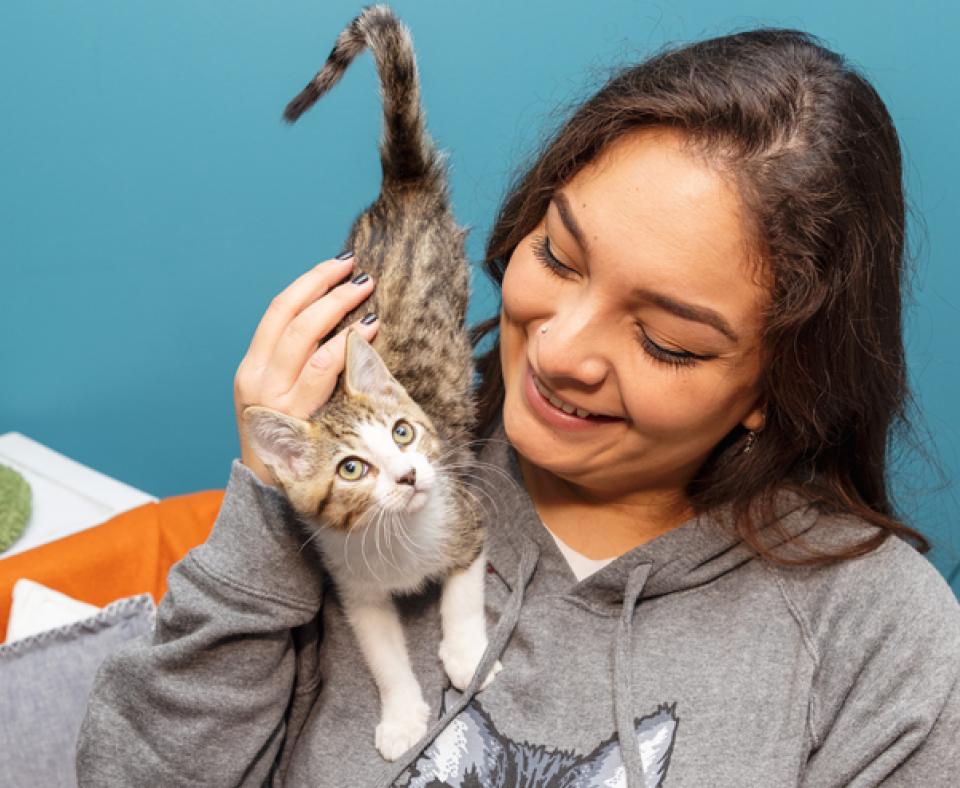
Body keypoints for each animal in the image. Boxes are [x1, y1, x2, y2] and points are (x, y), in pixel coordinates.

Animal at [240, 1, 498, 764]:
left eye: (404, 431)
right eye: (352, 468)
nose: (409, 476)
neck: (399, 537)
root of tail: (400, 187)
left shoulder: (468, 517)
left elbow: (462, 594)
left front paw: (466, 654)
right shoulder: (353, 585)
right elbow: (381, 653)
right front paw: (404, 717)